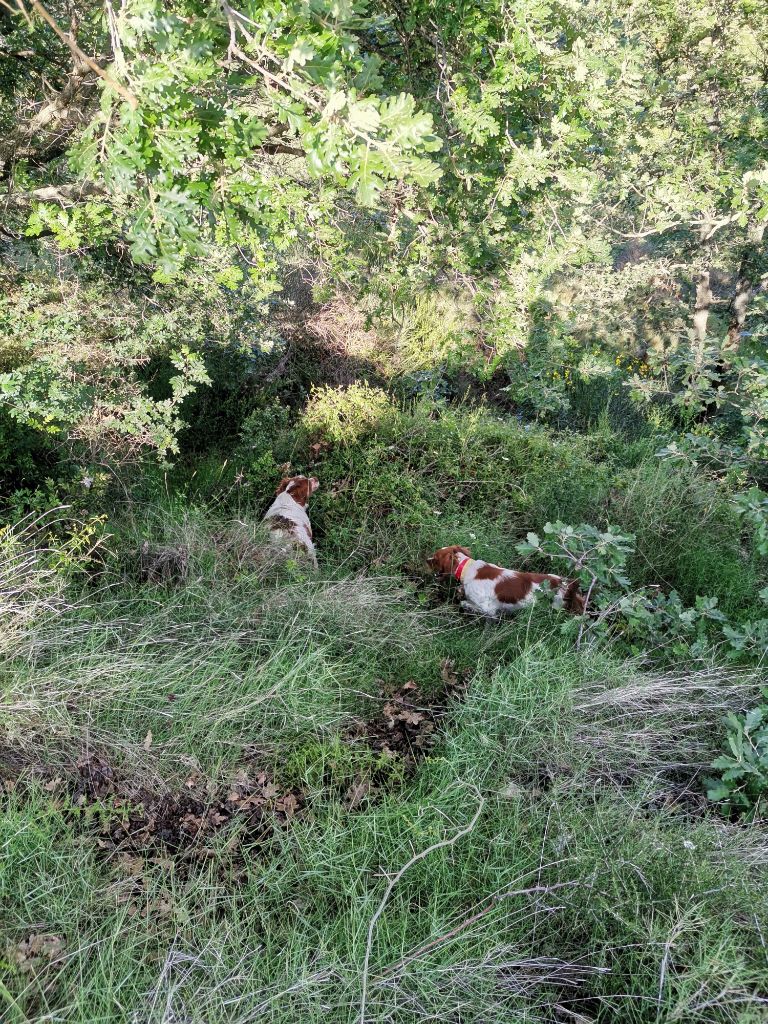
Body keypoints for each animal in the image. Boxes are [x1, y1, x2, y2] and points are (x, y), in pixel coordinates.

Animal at [428, 548, 589, 618]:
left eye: (435, 558)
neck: (468, 569)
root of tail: (567, 584)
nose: (425, 559)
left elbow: (465, 603)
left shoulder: (488, 609)